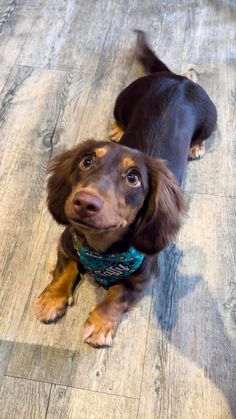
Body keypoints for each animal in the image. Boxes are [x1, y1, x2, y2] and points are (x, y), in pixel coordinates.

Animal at [34, 30, 217, 348]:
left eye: (133, 178)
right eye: (87, 161)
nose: (84, 203)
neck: (102, 250)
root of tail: (177, 78)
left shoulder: (144, 277)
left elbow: (116, 296)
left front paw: (99, 324)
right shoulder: (67, 241)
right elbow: (65, 268)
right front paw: (52, 299)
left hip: (210, 119)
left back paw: (195, 145)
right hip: (121, 100)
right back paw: (119, 129)